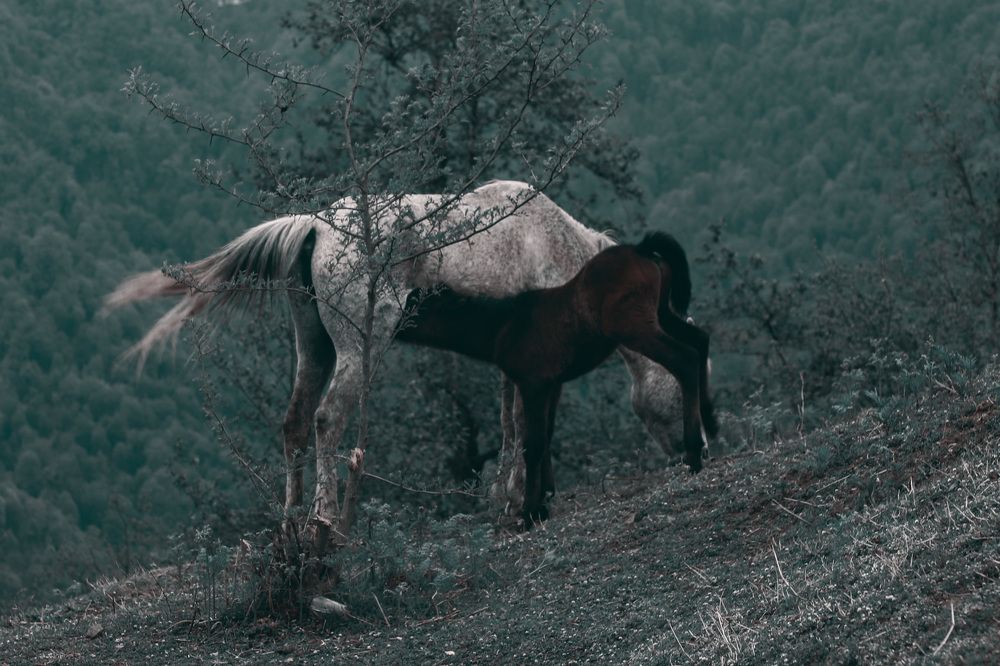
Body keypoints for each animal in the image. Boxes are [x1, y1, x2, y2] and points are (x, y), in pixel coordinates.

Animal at [398, 232, 715, 521]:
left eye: (418, 308)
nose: (396, 330)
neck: (503, 324)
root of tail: (640, 250)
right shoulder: (552, 384)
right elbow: (547, 435)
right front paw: (544, 498)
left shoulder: (533, 383)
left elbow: (533, 442)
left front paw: (529, 511)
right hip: (661, 315)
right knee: (699, 340)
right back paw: (710, 423)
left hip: (636, 327)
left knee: (684, 358)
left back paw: (694, 454)